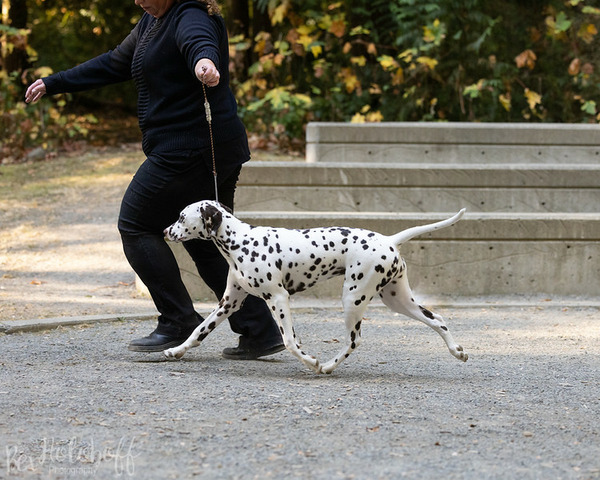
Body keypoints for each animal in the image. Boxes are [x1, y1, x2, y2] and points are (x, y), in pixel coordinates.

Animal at [164, 201, 468, 374]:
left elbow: (289, 341)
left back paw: (328, 366)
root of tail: (389, 239)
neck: (241, 240)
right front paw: (176, 351)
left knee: (354, 340)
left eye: (181, 217)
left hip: (353, 299)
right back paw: (458, 352)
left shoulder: (278, 298)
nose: (166, 231)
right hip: (397, 300)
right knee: (438, 319)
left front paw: (311, 362)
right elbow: (199, 331)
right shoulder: (229, 303)